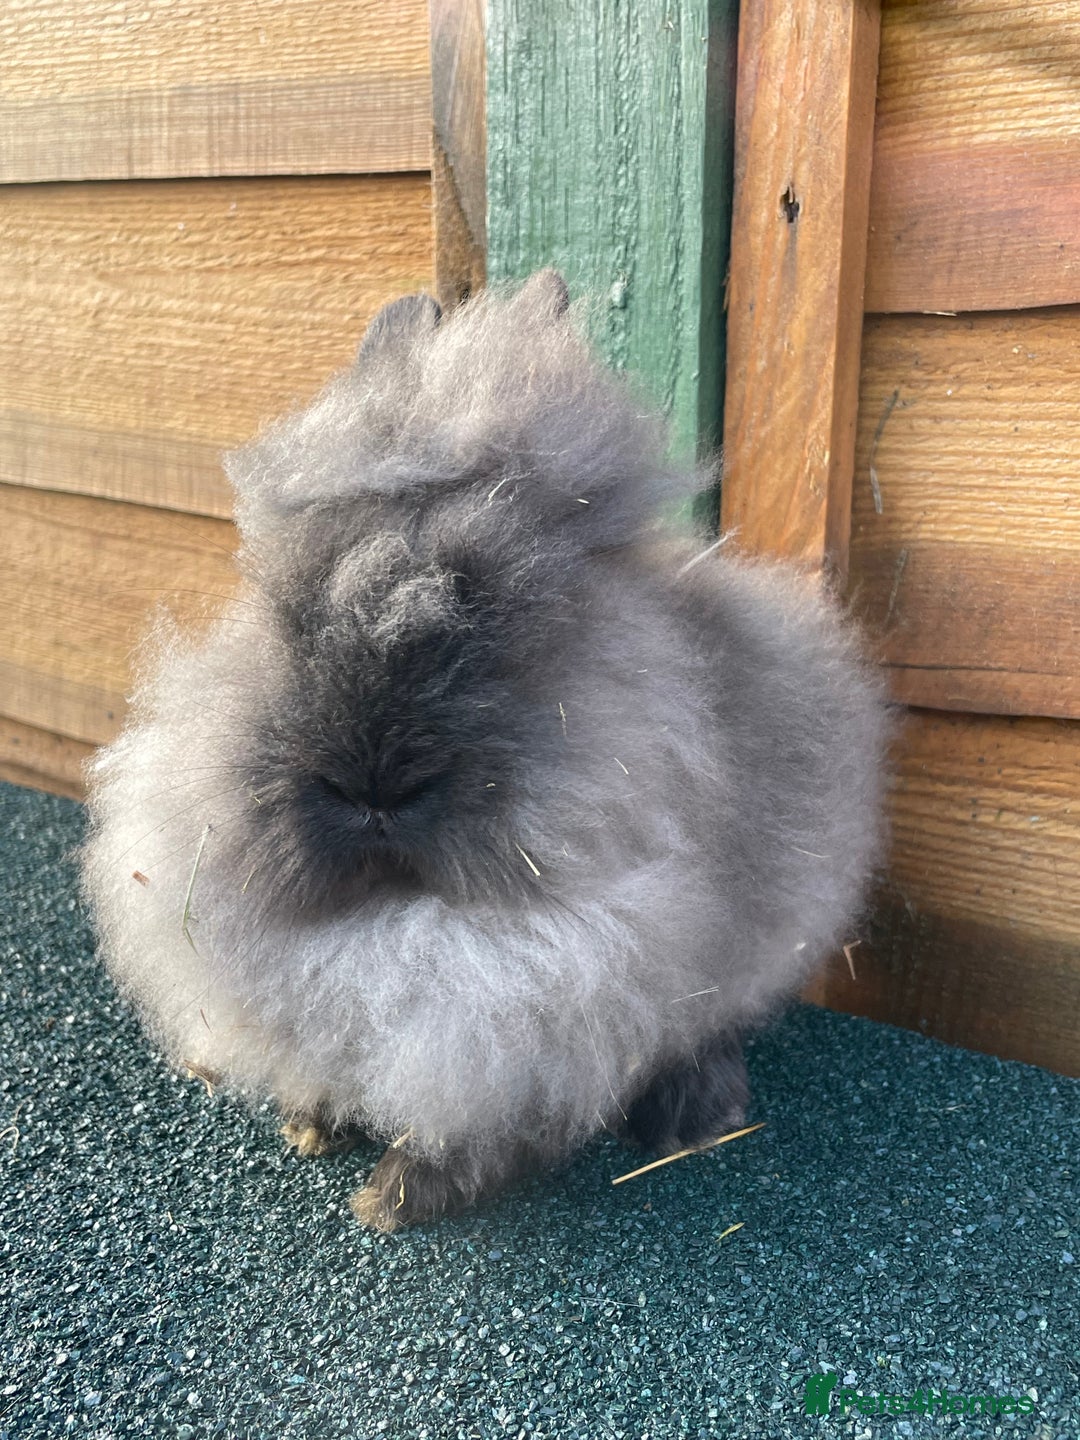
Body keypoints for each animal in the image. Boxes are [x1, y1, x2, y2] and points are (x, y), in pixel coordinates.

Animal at [80, 270, 889, 1231]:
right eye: (285, 604)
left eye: (500, 611)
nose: (375, 787)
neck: (404, 920)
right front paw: (311, 1126)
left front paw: (393, 1199)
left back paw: (696, 1117)